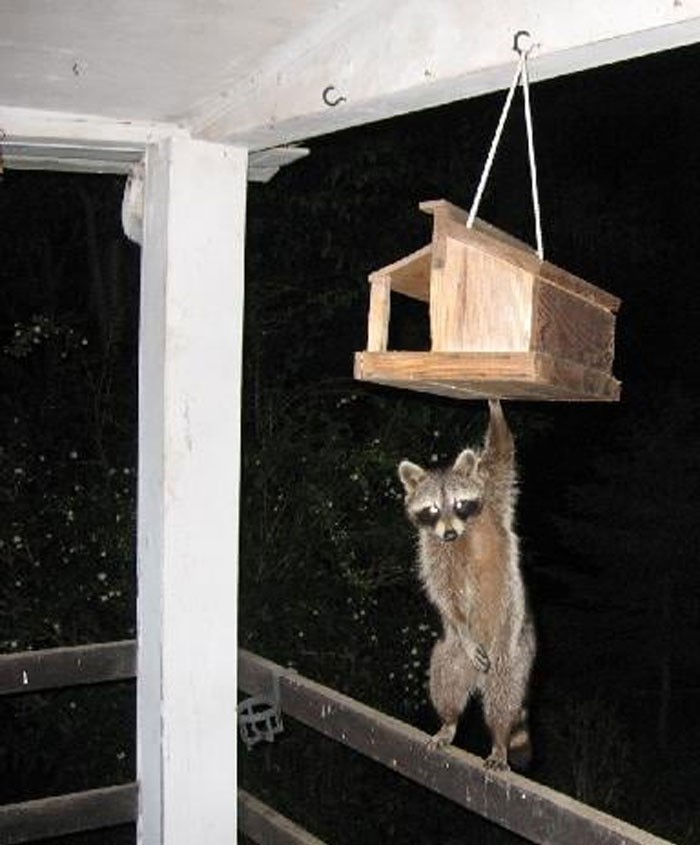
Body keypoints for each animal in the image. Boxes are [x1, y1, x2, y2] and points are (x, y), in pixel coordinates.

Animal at [400, 398, 536, 768]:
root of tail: (477, 677)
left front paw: (495, 407)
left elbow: (501, 456)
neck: (463, 531)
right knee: (444, 680)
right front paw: (459, 619)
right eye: (432, 510)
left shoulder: (493, 493)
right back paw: (448, 721)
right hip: (454, 653)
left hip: (514, 651)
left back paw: (500, 738)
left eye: (461, 504)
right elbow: (442, 589)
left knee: (503, 695)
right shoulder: (431, 546)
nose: (449, 534)